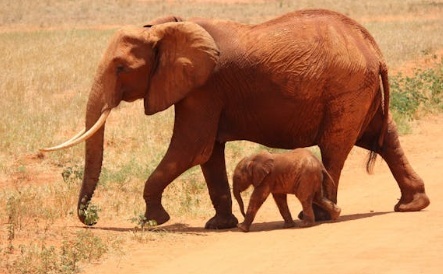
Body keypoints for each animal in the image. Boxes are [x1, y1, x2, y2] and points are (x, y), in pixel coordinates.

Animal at [40, 9, 430, 228]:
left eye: (121, 68)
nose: (90, 219)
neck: (164, 29)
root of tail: (374, 49)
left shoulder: (204, 87)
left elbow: (190, 149)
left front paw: (152, 220)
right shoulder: (202, 92)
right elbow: (208, 153)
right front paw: (218, 225)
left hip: (346, 91)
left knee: (335, 148)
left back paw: (319, 217)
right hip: (360, 93)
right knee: (384, 137)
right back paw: (411, 206)